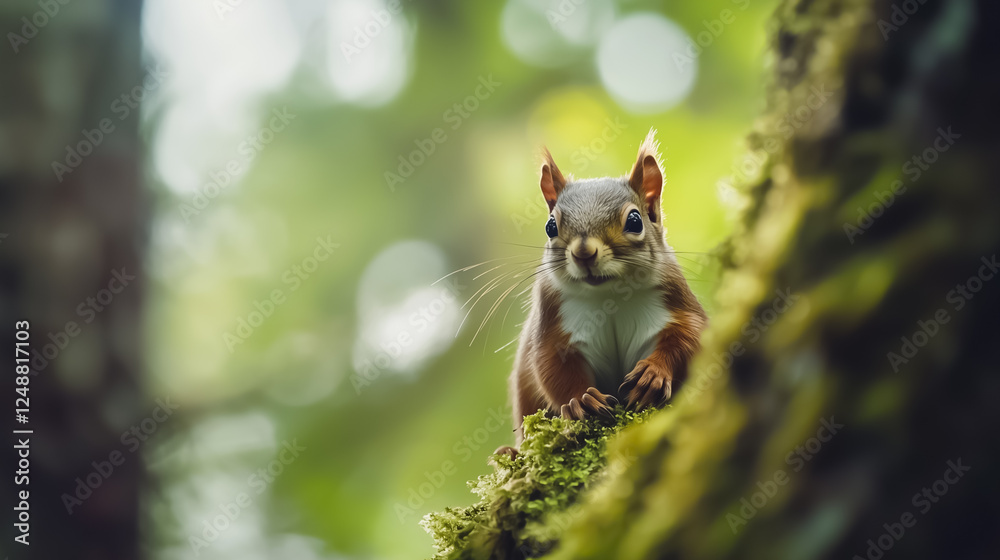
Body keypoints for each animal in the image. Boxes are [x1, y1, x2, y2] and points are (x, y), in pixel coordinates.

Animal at [498, 130, 707, 453]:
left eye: (635, 221)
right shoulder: (552, 319)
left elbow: (687, 336)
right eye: (550, 226)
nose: (584, 253)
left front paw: (653, 373)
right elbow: (550, 364)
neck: (609, 294)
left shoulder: (676, 298)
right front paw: (580, 400)